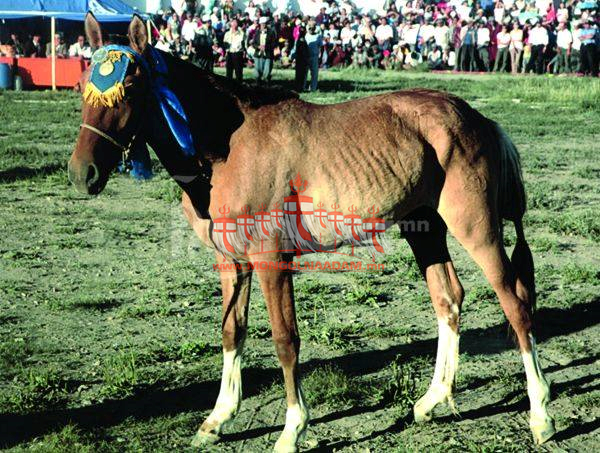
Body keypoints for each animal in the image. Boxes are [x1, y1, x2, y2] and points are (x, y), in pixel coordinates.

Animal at [69, 12, 552, 450]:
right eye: (83, 86)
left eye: (130, 89)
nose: (81, 173)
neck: (227, 148)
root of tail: (477, 118)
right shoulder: (231, 262)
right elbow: (232, 332)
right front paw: (218, 418)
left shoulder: (271, 262)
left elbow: (286, 341)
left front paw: (292, 429)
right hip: (425, 230)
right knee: (448, 299)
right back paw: (432, 400)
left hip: (476, 228)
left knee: (515, 303)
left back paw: (540, 414)